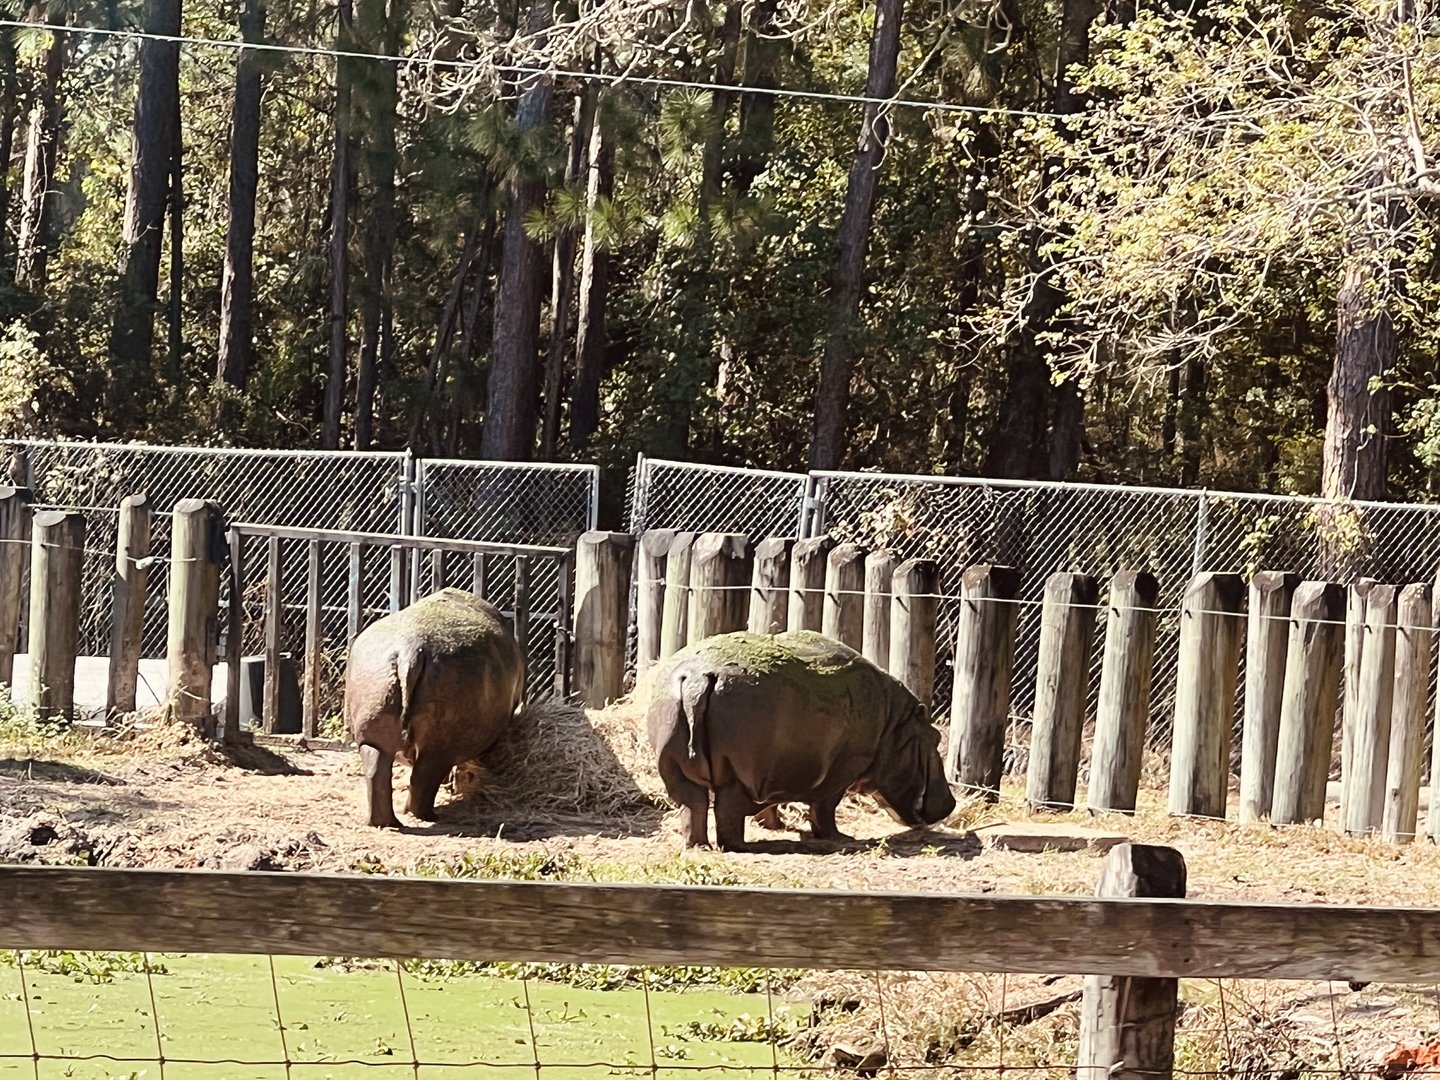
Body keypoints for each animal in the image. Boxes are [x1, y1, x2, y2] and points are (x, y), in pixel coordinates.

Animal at [345, 588, 525, 827]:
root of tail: (410, 650)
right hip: (440, 741)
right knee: (423, 777)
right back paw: (428, 816)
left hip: (374, 707)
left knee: (377, 769)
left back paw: (386, 822)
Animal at [646, 630, 955, 851]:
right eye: (936, 737)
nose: (951, 803)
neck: (893, 723)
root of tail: (696, 678)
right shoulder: (838, 776)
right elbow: (824, 808)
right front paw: (839, 838)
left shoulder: (771, 775)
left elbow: (770, 804)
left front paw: (775, 826)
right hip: (735, 773)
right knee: (726, 812)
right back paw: (740, 846)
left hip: (674, 763)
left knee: (693, 804)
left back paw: (697, 847)